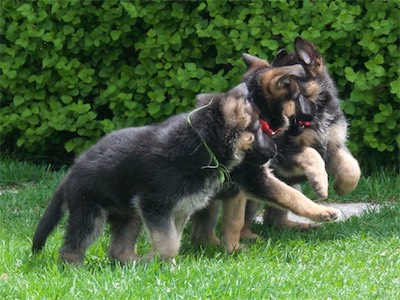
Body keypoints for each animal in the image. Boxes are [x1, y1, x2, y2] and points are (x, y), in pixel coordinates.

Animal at [31, 83, 276, 264]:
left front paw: (164, 264)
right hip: (90, 212)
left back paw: (133, 263)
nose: (274, 151)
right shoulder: (155, 205)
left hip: (129, 215)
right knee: (74, 243)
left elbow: (173, 240)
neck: (202, 144)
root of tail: (70, 173)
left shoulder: (178, 209)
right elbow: (169, 244)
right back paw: (73, 266)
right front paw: (165, 263)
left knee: (117, 249)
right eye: (257, 131)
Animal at [245, 36, 360, 231]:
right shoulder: (285, 152)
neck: (318, 117)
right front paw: (321, 184)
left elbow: (353, 167)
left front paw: (342, 187)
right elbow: (311, 153)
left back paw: (304, 227)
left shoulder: (333, 146)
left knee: (274, 219)